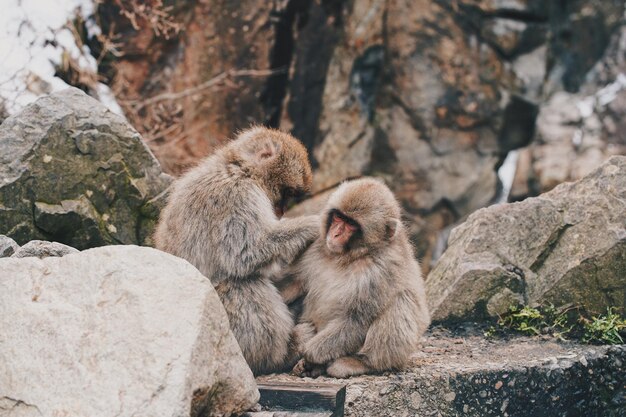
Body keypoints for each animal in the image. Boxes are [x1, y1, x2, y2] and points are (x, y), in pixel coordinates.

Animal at [154, 126, 320, 374]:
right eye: (287, 192)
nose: (280, 211)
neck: (238, 168)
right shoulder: (236, 195)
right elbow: (245, 253)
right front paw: (312, 225)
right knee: (242, 285)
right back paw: (282, 354)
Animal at [288, 177, 428, 378]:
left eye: (351, 224)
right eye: (339, 217)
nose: (335, 233)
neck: (347, 257)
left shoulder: (381, 270)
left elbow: (356, 319)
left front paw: (310, 353)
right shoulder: (313, 247)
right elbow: (294, 284)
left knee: (401, 299)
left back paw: (362, 363)